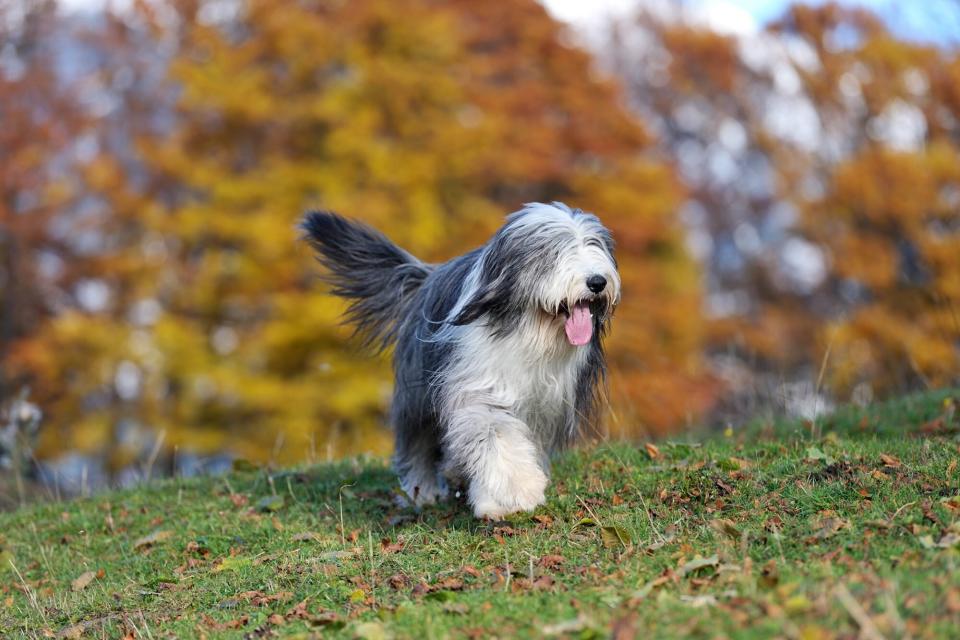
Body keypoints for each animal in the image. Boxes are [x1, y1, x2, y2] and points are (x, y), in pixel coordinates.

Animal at [302, 202, 624, 516]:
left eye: (595, 245)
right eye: (553, 252)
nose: (597, 281)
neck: (530, 334)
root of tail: (427, 275)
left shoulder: (548, 405)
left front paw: (494, 500)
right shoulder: (477, 385)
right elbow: (494, 434)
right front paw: (518, 489)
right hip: (418, 392)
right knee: (418, 440)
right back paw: (422, 491)